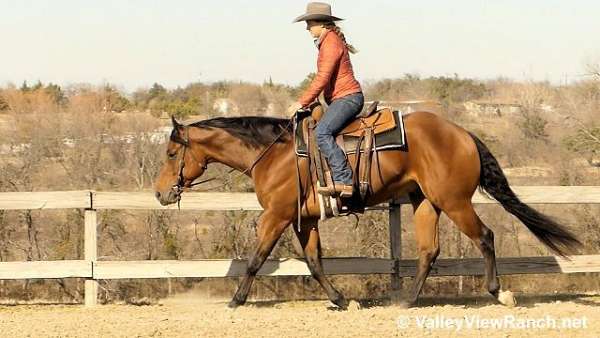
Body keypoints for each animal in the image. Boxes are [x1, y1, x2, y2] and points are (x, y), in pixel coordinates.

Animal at [154, 111, 580, 308]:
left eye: (172, 153)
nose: (160, 193)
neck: (274, 155)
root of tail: (461, 133)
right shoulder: (304, 221)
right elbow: (315, 263)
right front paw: (342, 300)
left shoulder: (276, 217)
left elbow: (257, 259)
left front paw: (235, 300)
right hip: (425, 202)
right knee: (429, 251)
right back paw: (406, 300)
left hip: (454, 201)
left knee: (485, 236)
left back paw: (498, 292)